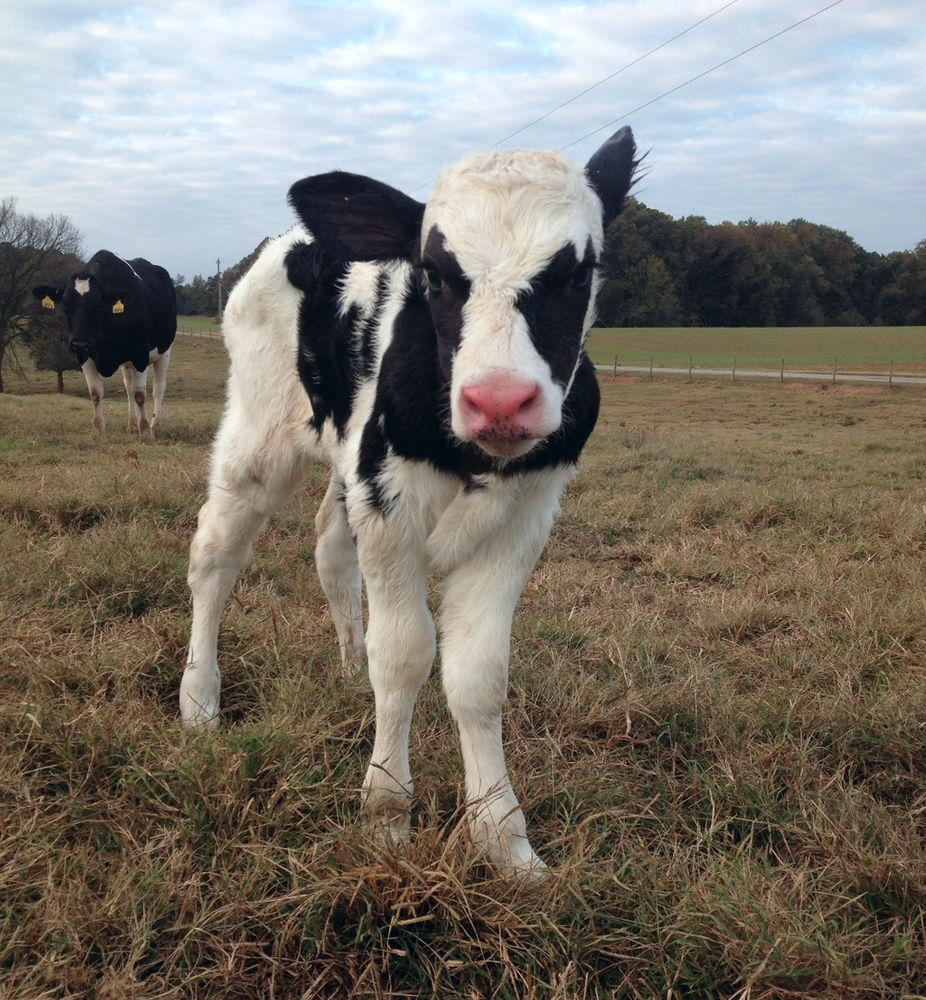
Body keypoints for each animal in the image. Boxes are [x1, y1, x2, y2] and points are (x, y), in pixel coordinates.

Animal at [33, 250, 176, 436]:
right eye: (65, 306)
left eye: (97, 306)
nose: (78, 344)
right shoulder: (85, 357)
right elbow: (96, 393)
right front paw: (99, 430)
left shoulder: (139, 355)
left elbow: (140, 394)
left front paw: (145, 431)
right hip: (126, 362)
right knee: (128, 387)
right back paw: (132, 425)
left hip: (165, 351)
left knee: (158, 388)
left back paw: (155, 425)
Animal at [180, 127, 638, 874]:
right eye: (435, 275)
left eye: (578, 273)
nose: (499, 400)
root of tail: (296, 241)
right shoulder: (390, 509)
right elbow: (403, 656)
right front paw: (388, 814)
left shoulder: (523, 518)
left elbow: (477, 672)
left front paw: (506, 843)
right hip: (257, 437)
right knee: (215, 557)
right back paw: (199, 701)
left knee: (329, 548)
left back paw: (345, 667)